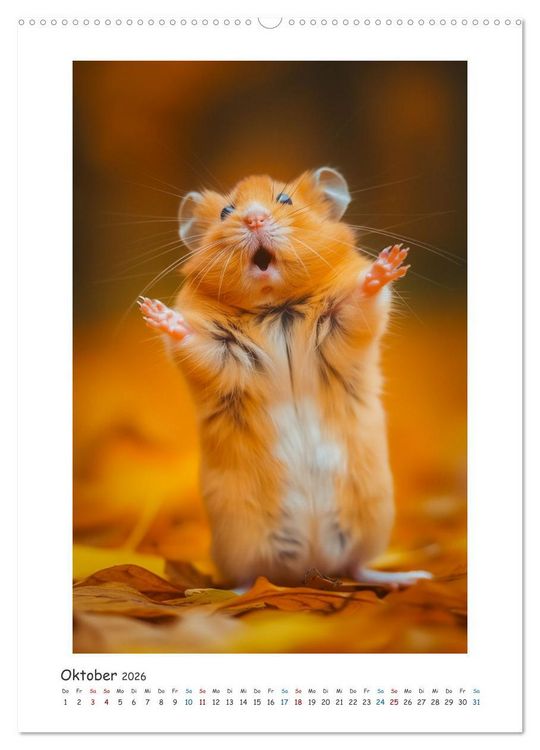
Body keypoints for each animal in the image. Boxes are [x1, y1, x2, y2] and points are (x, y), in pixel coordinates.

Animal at [138, 167, 432, 589]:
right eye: (227, 211)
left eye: (285, 200)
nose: (254, 219)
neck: (276, 307)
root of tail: (310, 566)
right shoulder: (218, 349)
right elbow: (192, 339)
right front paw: (155, 312)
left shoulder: (344, 321)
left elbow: (360, 297)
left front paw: (389, 262)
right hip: (240, 539)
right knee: (251, 577)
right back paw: (227, 594)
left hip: (373, 520)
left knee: (357, 565)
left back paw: (411, 576)